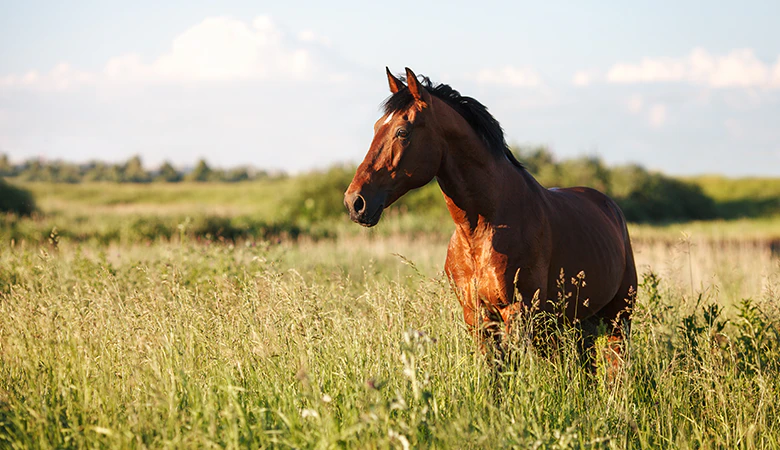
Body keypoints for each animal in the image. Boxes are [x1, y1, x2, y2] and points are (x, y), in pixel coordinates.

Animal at [344, 67, 637, 360]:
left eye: (402, 132)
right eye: (376, 127)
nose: (355, 202)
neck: (482, 229)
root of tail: (609, 206)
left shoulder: (518, 313)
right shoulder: (477, 317)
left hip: (617, 318)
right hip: (578, 323)